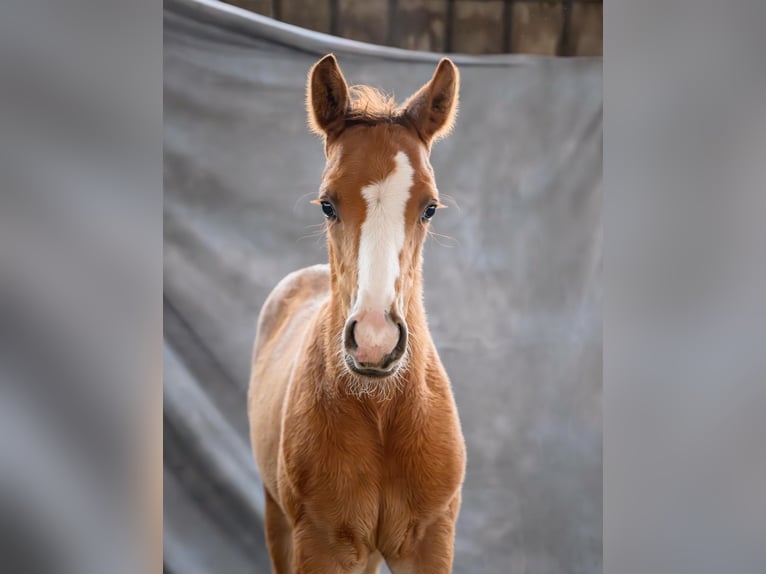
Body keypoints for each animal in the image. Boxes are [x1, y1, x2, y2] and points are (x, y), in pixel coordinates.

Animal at [248, 54, 466, 573]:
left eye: (430, 207)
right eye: (327, 203)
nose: (374, 342)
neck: (382, 413)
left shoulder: (430, 541)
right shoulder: (320, 545)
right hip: (277, 520)